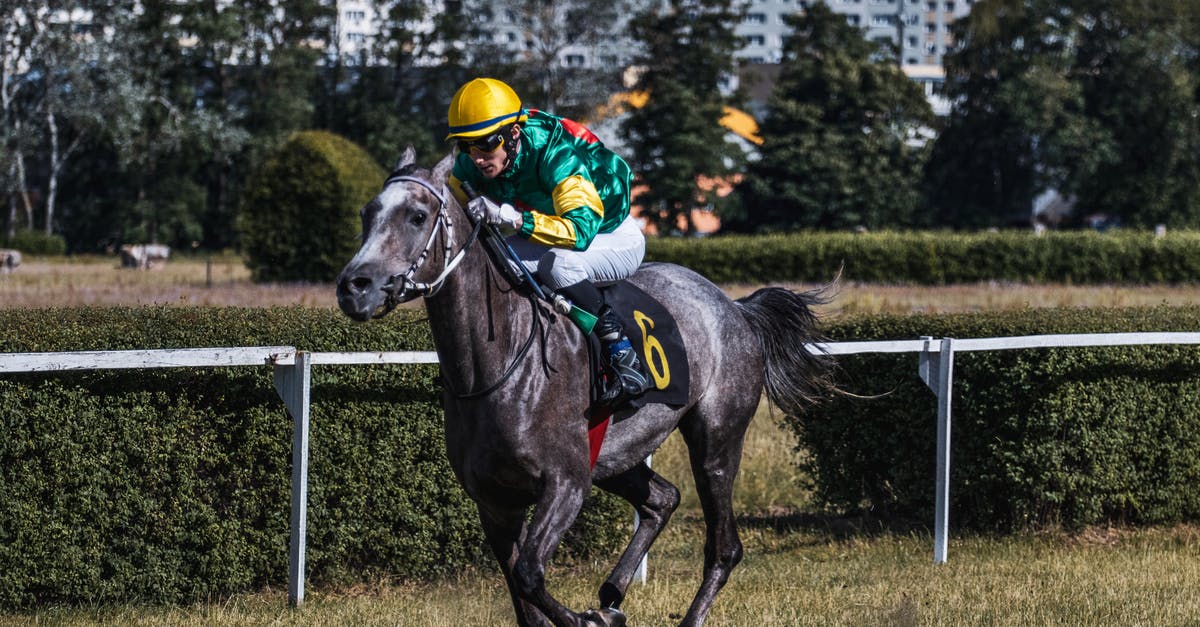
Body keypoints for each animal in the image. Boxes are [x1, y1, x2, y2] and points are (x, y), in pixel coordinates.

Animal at [336, 147, 835, 626]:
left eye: (417, 215)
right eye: (366, 213)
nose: (354, 287)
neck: (497, 365)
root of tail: (734, 306)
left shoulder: (566, 484)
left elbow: (530, 574)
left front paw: (588, 620)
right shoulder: (495, 501)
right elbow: (523, 596)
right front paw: (596, 612)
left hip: (715, 439)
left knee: (724, 546)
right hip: (615, 455)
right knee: (662, 499)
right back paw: (612, 594)